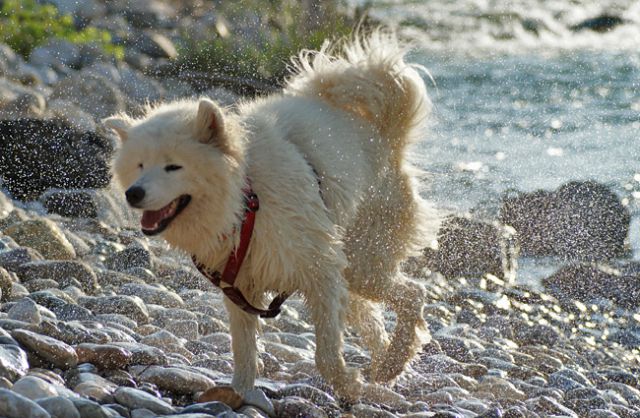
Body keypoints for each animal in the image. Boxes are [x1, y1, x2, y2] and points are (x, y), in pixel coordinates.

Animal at [106, 31, 436, 400]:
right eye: (139, 165)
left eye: (173, 166)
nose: (133, 194)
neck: (246, 196)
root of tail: (383, 137)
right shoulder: (238, 282)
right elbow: (244, 349)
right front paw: (239, 393)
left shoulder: (318, 267)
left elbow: (325, 352)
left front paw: (347, 385)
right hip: (350, 267)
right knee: (373, 314)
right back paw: (387, 366)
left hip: (363, 260)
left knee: (413, 294)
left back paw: (393, 360)